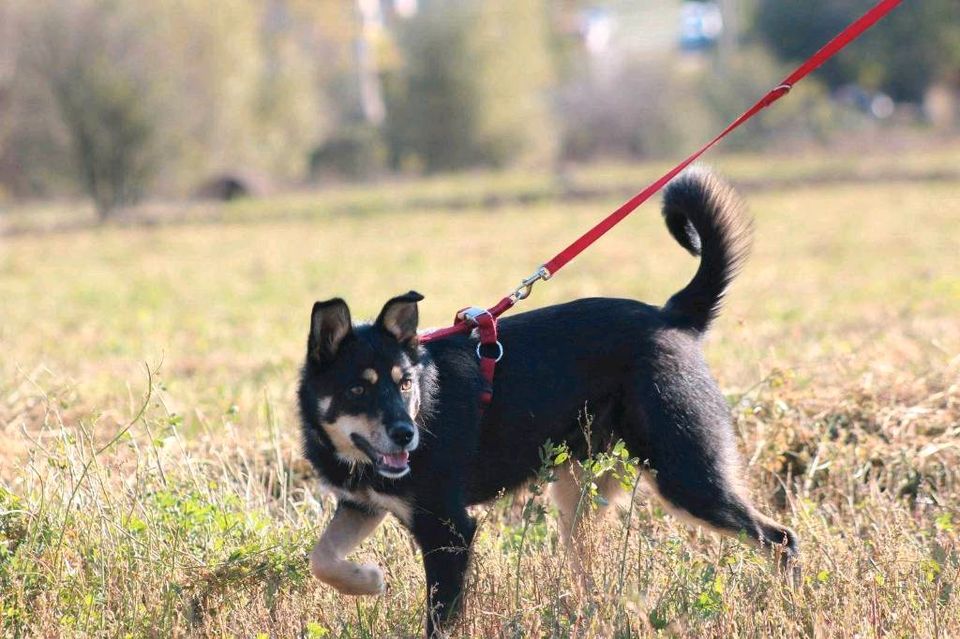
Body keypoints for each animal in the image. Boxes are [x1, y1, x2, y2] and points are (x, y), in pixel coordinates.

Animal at [298, 168, 796, 636]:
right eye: (358, 389)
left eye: (404, 384)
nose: (407, 434)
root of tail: (672, 316)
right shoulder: (362, 504)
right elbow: (321, 559)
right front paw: (367, 579)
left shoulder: (448, 528)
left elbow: (440, 620)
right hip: (578, 497)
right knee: (593, 575)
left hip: (683, 473)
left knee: (779, 539)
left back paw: (789, 608)